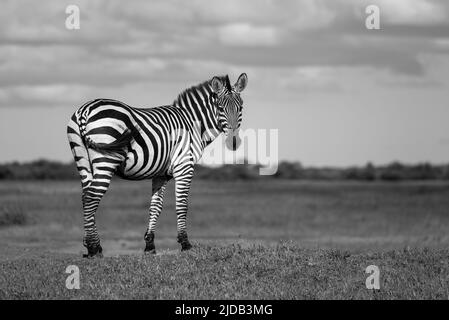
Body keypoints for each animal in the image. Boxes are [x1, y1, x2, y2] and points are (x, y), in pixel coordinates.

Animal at [66, 73, 247, 258]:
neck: (193, 124)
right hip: (105, 159)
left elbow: (156, 206)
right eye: (220, 108)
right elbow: (182, 205)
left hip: (82, 159)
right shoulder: (184, 166)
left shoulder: (161, 173)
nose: (233, 142)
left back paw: (92, 245)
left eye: (240, 107)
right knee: (92, 197)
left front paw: (149, 245)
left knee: (85, 196)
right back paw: (94, 247)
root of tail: (85, 109)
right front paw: (185, 244)